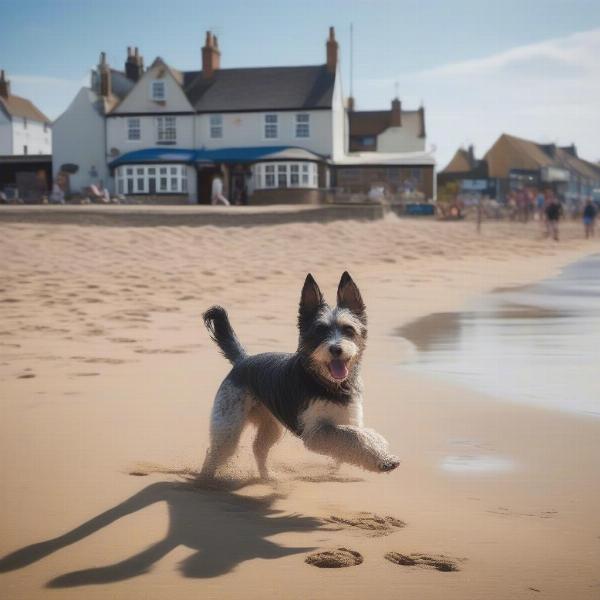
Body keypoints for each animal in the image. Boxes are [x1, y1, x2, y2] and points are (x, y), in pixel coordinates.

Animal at [199, 270, 400, 478]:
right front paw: (383, 459)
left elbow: (358, 437)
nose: (336, 349)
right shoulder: (315, 432)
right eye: (319, 331)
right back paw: (207, 481)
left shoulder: (348, 419)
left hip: (270, 426)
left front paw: (378, 455)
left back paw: (267, 477)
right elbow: (354, 435)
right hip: (228, 427)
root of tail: (242, 360)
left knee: (258, 448)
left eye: (348, 329)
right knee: (215, 453)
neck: (327, 383)